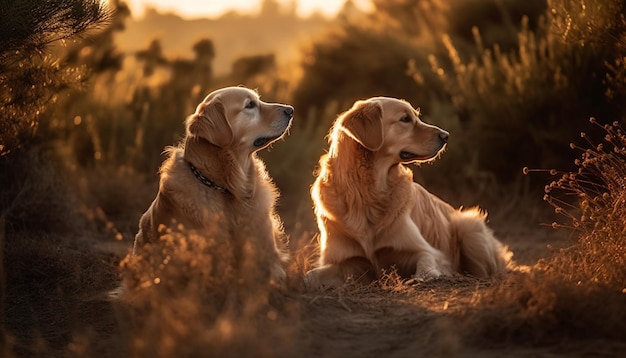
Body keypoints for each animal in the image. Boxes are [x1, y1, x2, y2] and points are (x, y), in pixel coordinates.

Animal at [304, 96, 510, 290]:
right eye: (405, 119)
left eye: (415, 117)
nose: (446, 135)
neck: (366, 192)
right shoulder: (350, 262)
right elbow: (309, 276)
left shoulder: (424, 250)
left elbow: (426, 262)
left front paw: (423, 278)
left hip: (469, 227)